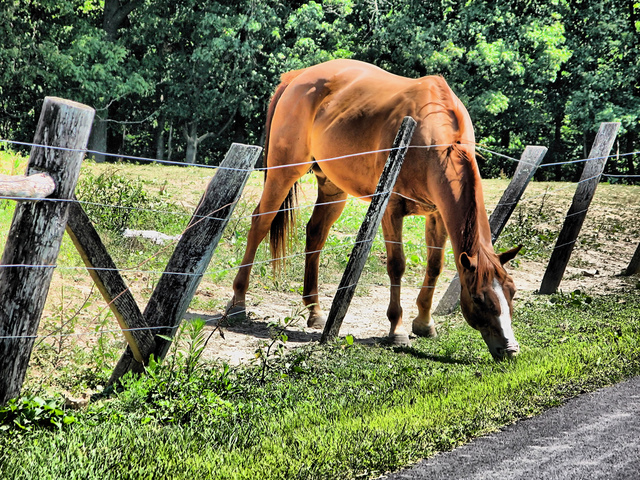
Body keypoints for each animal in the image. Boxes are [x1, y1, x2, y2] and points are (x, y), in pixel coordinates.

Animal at [228, 59, 524, 360]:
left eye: (511, 292)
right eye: (478, 298)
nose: (510, 349)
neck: (431, 137)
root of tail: (297, 77)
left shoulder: (436, 215)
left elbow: (435, 265)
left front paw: (424, 323)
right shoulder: (392, 211)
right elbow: (397, 265)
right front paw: (397, 329)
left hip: (333, 188)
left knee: (315, 234)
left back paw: (315, 311)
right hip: (283, 173)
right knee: (260, 223)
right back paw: (238, 301)